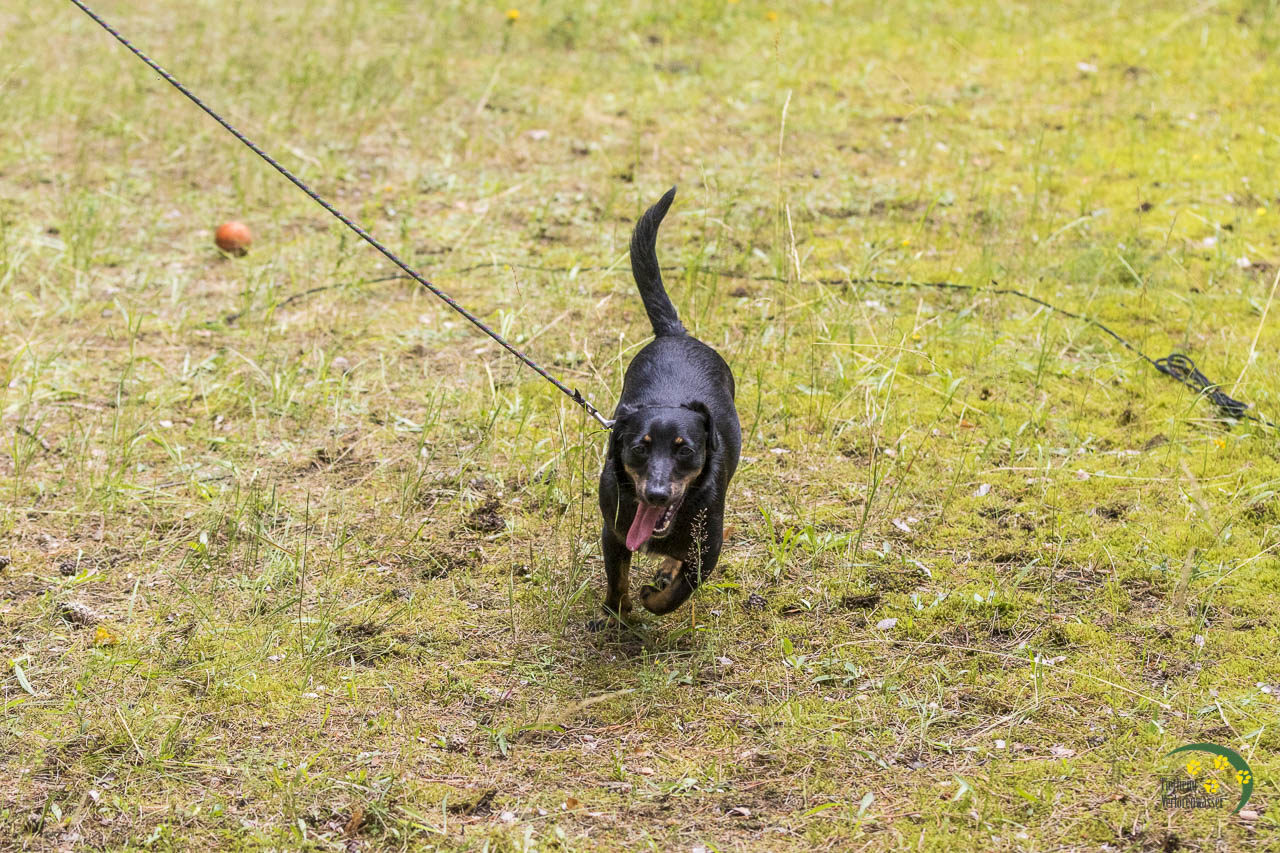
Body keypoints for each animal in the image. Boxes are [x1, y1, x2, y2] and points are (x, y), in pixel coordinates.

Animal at [596, 187, 741, 622]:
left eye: (685, 451)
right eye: (639, 448)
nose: (658, 494)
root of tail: (675, 332)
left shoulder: (707, 551)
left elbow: (678, 592)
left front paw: (651, 598)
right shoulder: (614, 532)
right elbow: (617, 578)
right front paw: (617, 612)